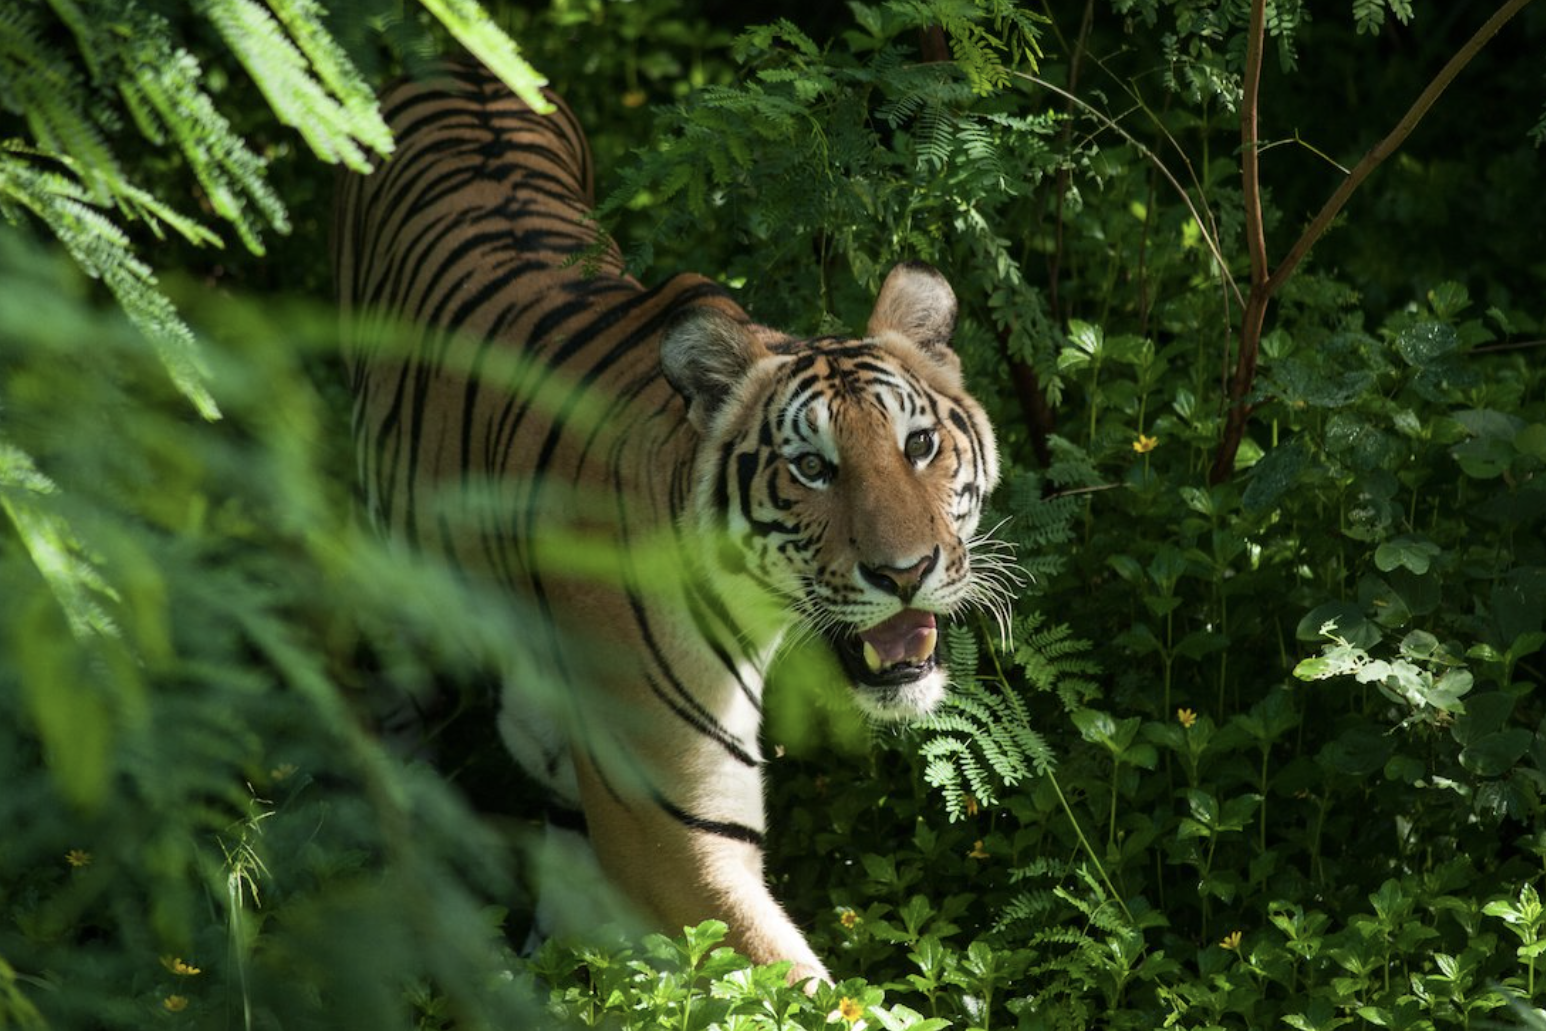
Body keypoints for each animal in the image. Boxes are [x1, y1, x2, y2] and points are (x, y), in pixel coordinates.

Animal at [333, 58, 1009, 985]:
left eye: (919, 444)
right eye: (812, 468)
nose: (905, 573)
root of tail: (456, 61)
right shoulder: (675, 826)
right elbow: (803, 992)